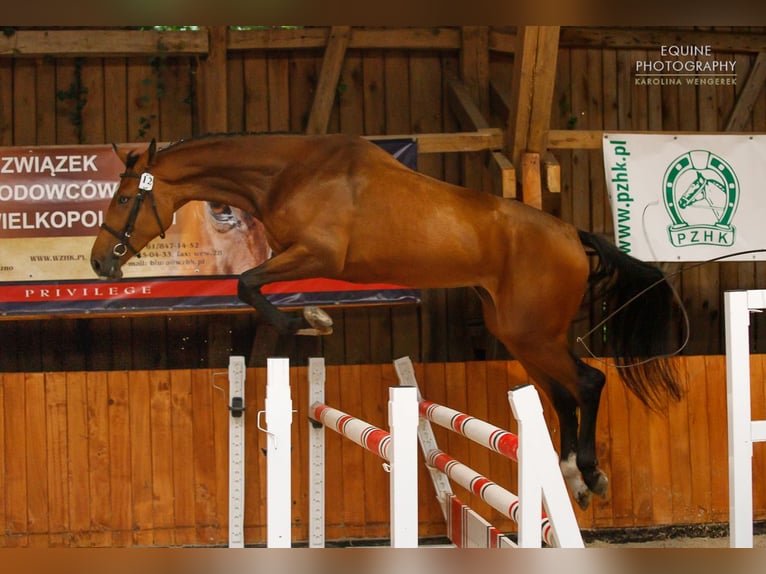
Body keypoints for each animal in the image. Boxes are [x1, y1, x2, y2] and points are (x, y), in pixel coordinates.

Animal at [90, 133, 684, 510]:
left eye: (124, 197)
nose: (99, 263)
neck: (289, 172)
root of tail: (572, 236)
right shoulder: (296, 257)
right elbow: (251, 291)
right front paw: (307, 321)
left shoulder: (317, 255)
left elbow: (248, 287)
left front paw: (311, 320)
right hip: (521, 333)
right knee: (563, 395)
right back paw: (570, 477)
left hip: (534, 334)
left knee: (589, 381)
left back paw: (590, 472)